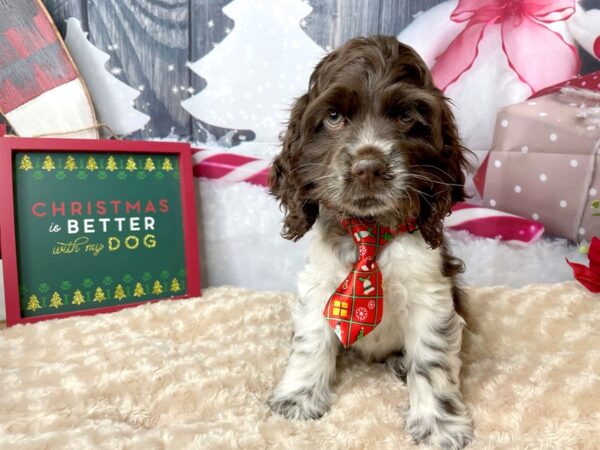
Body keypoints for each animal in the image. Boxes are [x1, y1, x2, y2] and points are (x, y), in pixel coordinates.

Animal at [268, 37, 474, 448]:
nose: (369, 168)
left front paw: (439, 426)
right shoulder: (320, 286)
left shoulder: (431, 296)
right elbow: (311, 341)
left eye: (406, 117)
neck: (371, 232)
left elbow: (432, 359)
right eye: (333, 117)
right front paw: (298, 398)